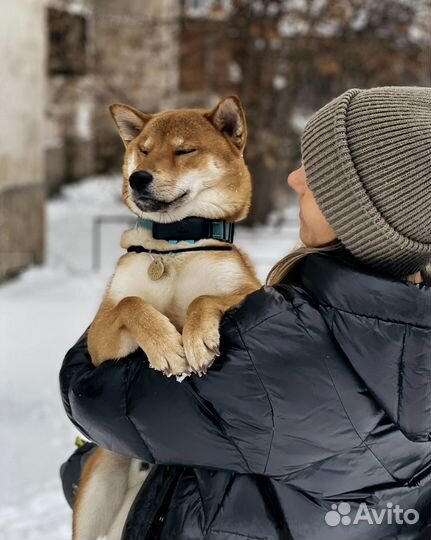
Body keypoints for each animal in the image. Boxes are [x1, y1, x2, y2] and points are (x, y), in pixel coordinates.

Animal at [73, 97, 262, 540]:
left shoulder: (248, 289)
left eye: (183, 151)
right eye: (143, 150)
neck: (174, 245)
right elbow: (131, 304)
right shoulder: (100, 337)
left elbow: (204, 298)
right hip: (98, 489)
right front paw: (166, 347)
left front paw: (196, 341)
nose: (139, 178)